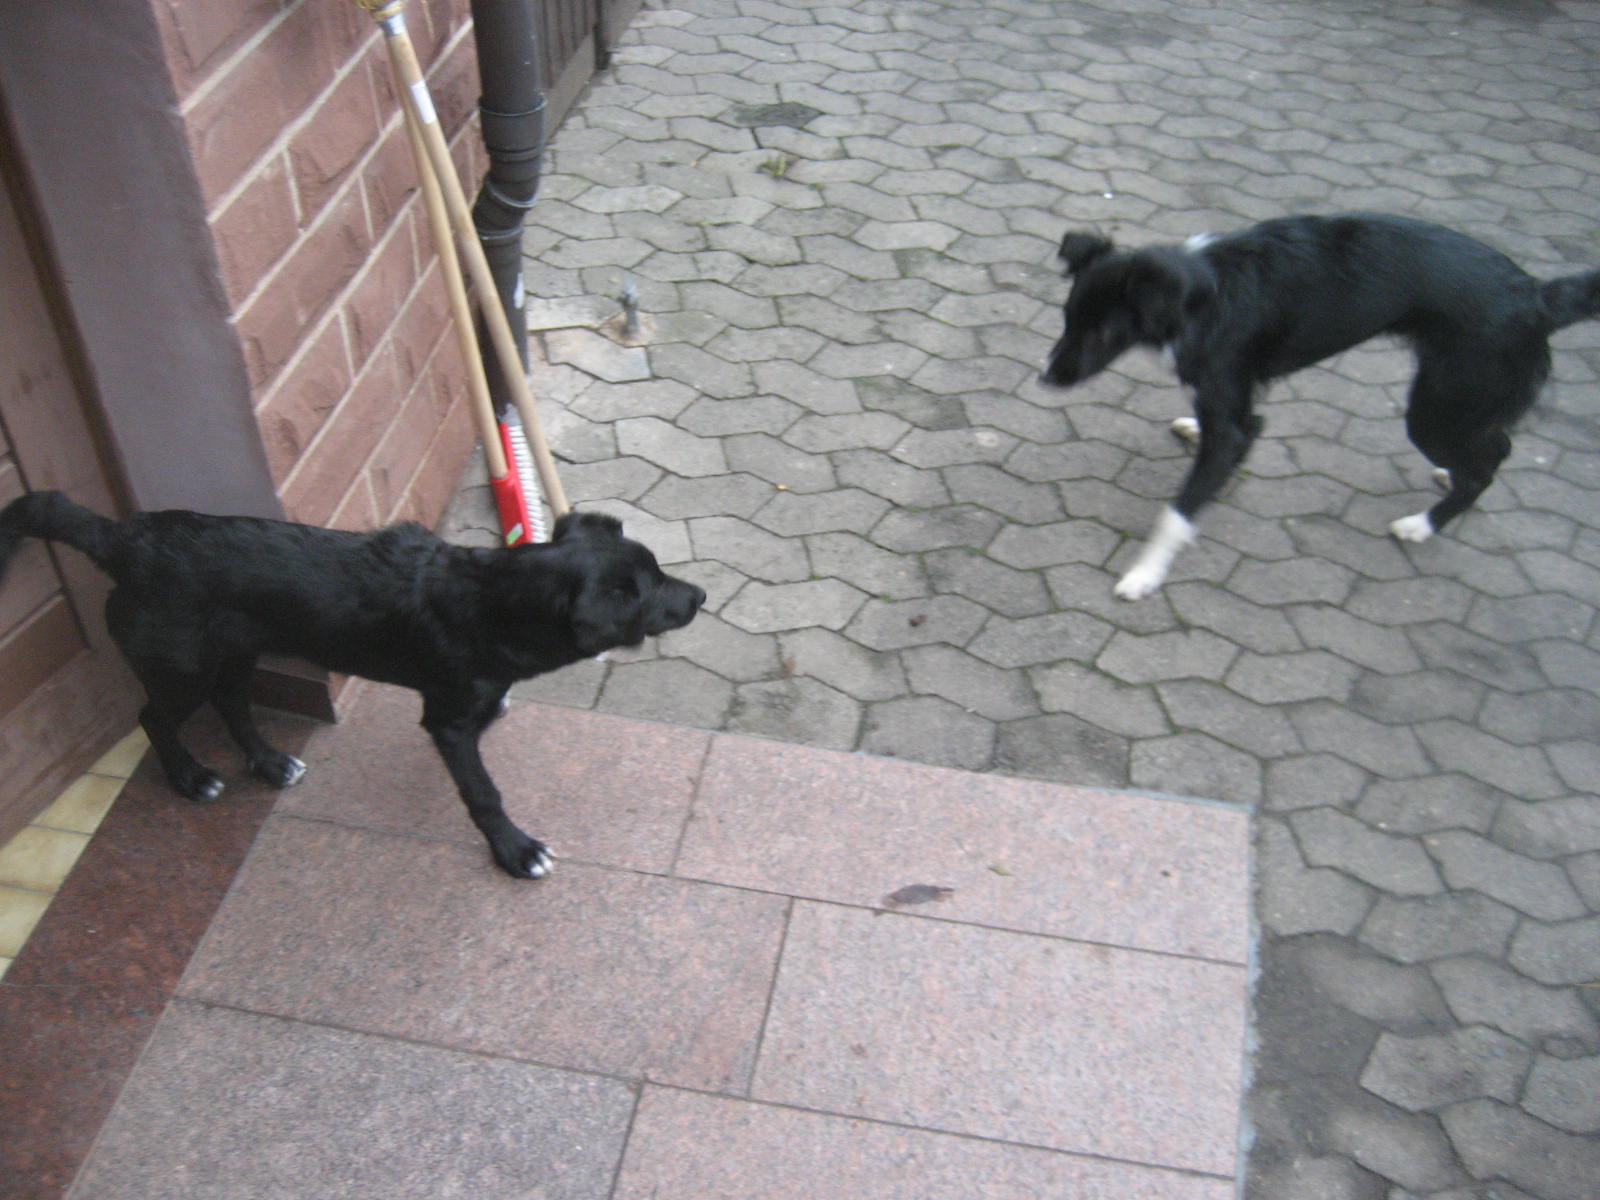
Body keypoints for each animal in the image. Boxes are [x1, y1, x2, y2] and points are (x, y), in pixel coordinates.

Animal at [1036, 214, 1600, 601]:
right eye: (1066, 317)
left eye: (1104, 333)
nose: (1046, 376)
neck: (1197, 294)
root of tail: (1538, 294)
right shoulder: (1239, 410)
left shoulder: (1232, 416)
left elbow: (1176, 513)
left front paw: (1145, 572)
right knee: (1495, 446)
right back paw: (1446, 480)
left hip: (1436, 406)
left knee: (1489, 460)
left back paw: (1424, 524)